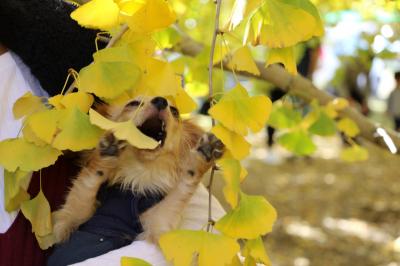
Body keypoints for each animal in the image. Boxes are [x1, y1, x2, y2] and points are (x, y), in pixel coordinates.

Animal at [48, 95, 223, 264]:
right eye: (133, 103)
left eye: (174, 112)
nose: (161, 101)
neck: (138, 175)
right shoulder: (67, 226)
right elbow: (85, 186)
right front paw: (105, 155)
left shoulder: (157, 227)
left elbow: (180, 192)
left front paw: (201, 158)